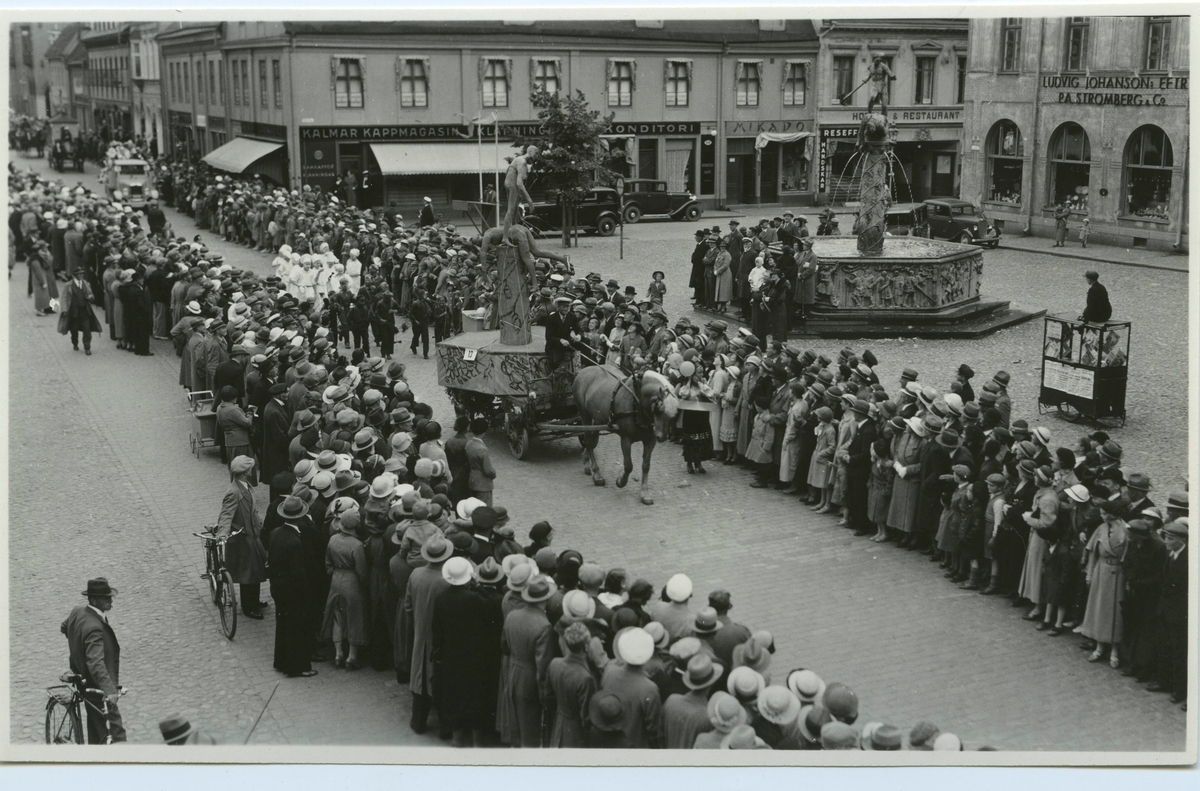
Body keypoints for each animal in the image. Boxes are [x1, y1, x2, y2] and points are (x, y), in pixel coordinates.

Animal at [573, 365, 678, 505]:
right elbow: (628, 466)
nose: (662, 437)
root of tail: (583, 370)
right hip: (585, 416)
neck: (636, 402)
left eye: (673, 414)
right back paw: (597, 474)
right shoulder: (625, 439)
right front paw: (620, 481)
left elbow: (646, 466)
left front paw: (644, 493)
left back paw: (586, 463)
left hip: (597, 420)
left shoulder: (650, 440)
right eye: (659, 409)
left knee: (592, 441)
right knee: (589, 442)